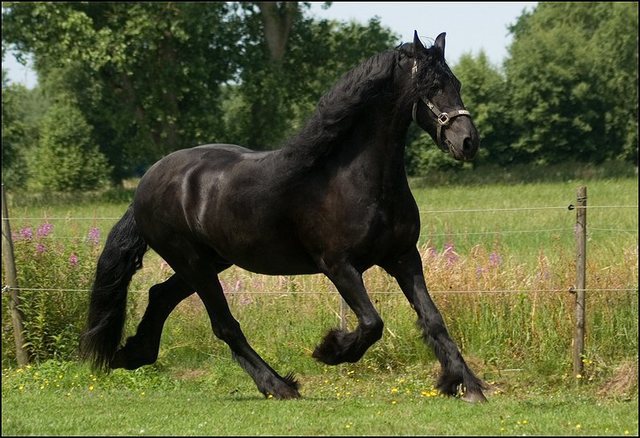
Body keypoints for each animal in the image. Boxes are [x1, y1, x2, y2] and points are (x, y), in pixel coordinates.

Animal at [82, 30, 488, 402]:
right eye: (432, 86)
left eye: (456, 83)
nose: (468, 141)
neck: (354, 179)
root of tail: (147, 181)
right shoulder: (339, 265)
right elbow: (373, 323)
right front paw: (330, 350)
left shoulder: (403, 257)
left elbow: (433, 319)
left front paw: (465, 384)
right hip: (192, 262)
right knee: (224, 325)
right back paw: (278, 385)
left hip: (209, 261)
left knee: (160, 296)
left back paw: (133, 354)